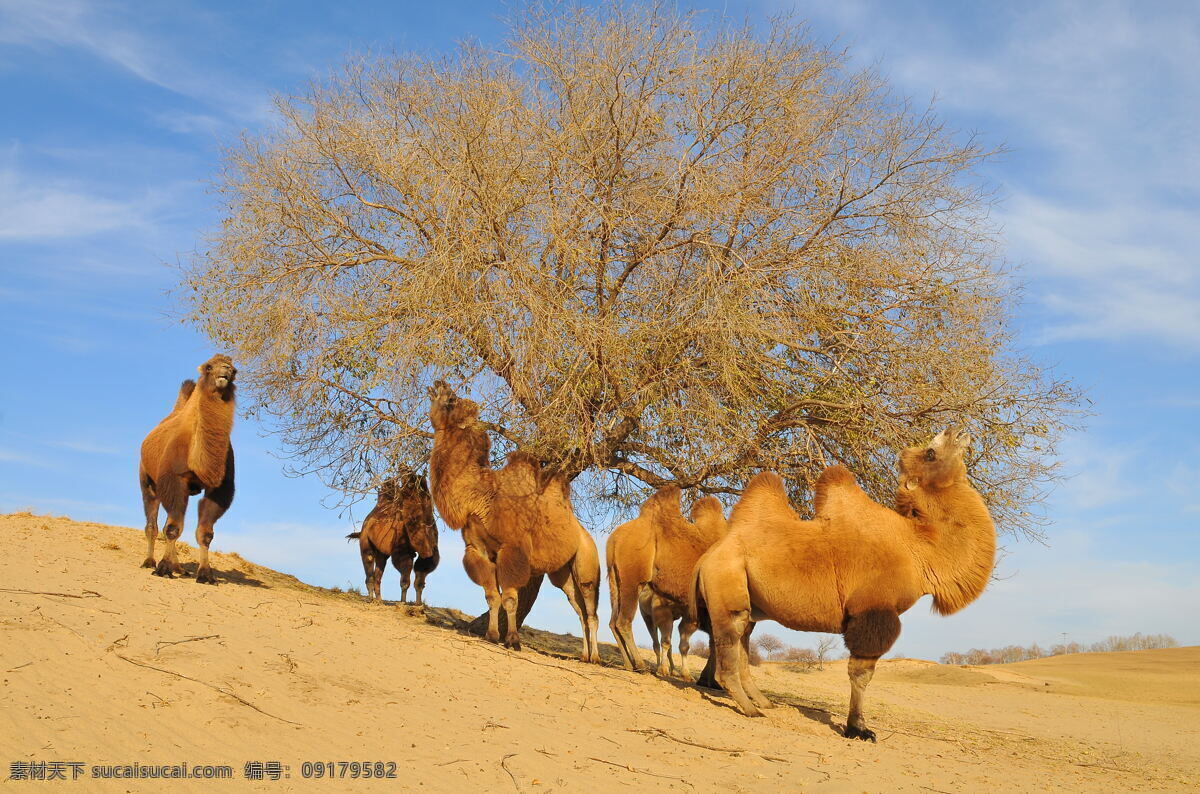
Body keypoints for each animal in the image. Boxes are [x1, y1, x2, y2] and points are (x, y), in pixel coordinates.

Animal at [138, 355, 236, 585]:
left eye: (234, 370)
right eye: (209, 367)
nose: (226, 369)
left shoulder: (218, 488)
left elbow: (205, 533)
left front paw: (206, 574)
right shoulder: (174, 479)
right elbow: (173, 528)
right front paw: (163, 568)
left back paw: (179, 568)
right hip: (147, 481)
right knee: (153, 524)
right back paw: (149, 562)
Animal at [348, 472, 441, 609]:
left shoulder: (429, 554)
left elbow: (419, 582)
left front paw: (418, 605)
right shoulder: (402, 550)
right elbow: (405, 579)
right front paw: (403, 603)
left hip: (382, 553)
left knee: (378, 573)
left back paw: (379, 600)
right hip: (365, 541)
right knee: (369, 565)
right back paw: (371, 599)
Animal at [429, 383, 604, 662]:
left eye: (452, 399)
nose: (438, 384)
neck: (482, 496)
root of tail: (586, 536)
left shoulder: (511, 548)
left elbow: (510, 599)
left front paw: (512, 640)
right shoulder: (478, 549)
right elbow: (492, 596)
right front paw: (491, 635)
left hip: (586, 564)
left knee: (591, 611)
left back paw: (595, 658)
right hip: (562, 574)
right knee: (578, 609)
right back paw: (585, 656)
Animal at [604, 489, 724, 681]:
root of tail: (613, 540)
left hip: (615, 579)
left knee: (613, 621)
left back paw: (630, 665)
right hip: (632, 579)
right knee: (624, 621)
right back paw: (641, 665)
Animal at [696, 429, 993, 738]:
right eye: (930, 453)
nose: (956, 432)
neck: (918, 548)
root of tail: (709, 555)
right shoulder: (872, 611)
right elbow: (861, 674)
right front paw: (858, 728)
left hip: (749, 603)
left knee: (742, 641)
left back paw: (764, 703)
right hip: (726, 585)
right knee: (729, 644)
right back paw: (750, 709)